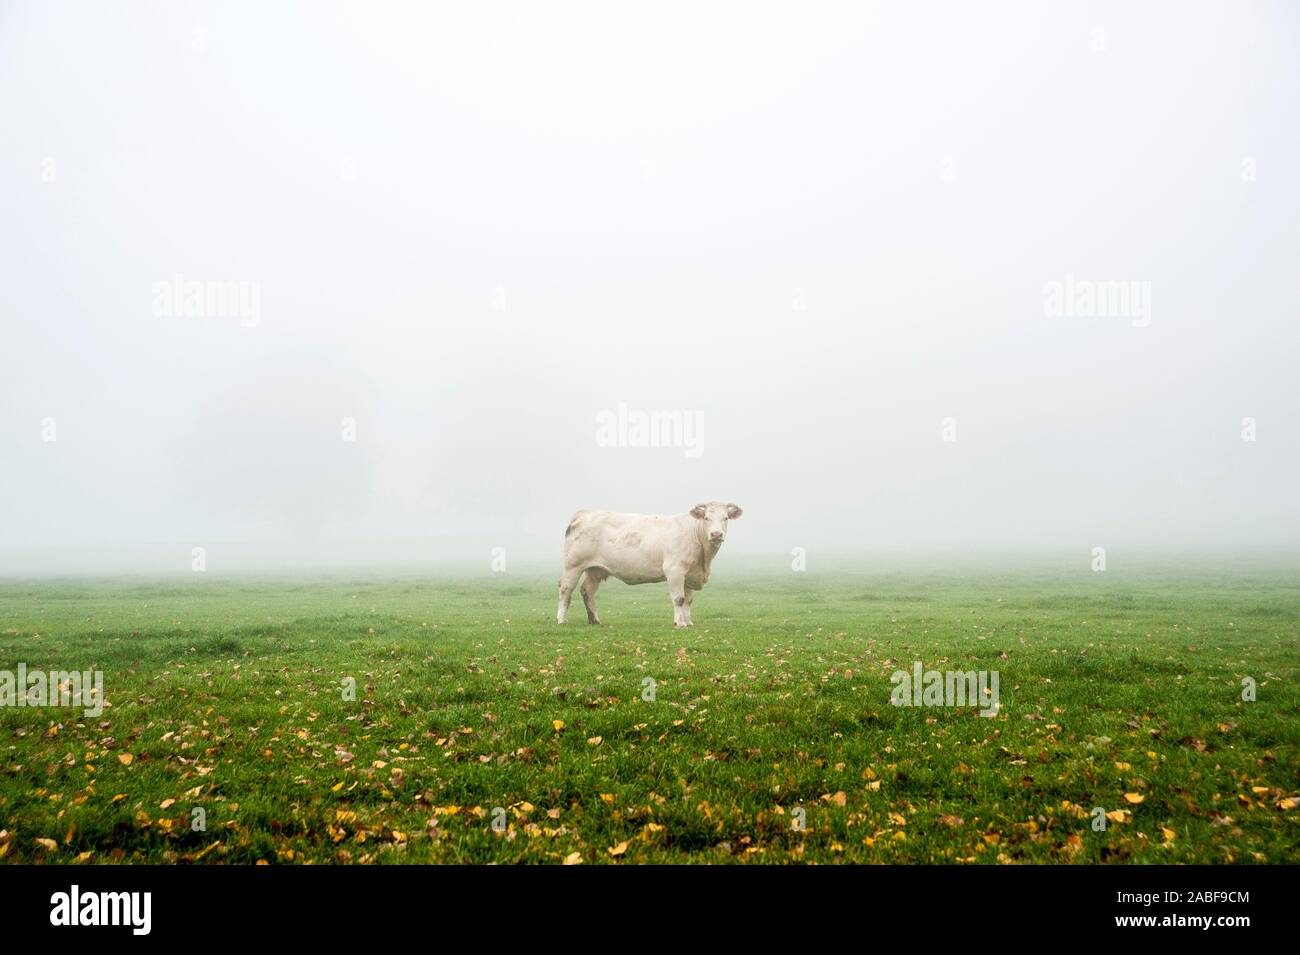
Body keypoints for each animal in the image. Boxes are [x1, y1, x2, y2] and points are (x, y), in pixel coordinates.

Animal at [557, 502, 743, 628]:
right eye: (706, 518)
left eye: (725, 518)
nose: (716, 534)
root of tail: (584, 513)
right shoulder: (675, 570)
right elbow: (679, 598)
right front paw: (680, 623)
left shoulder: (690, 574)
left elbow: (689, 600)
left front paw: (689, 622)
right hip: (573, 565)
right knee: (566, 589)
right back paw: (561, 619)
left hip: (595, 569)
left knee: (587, 591)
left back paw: (594, 620)